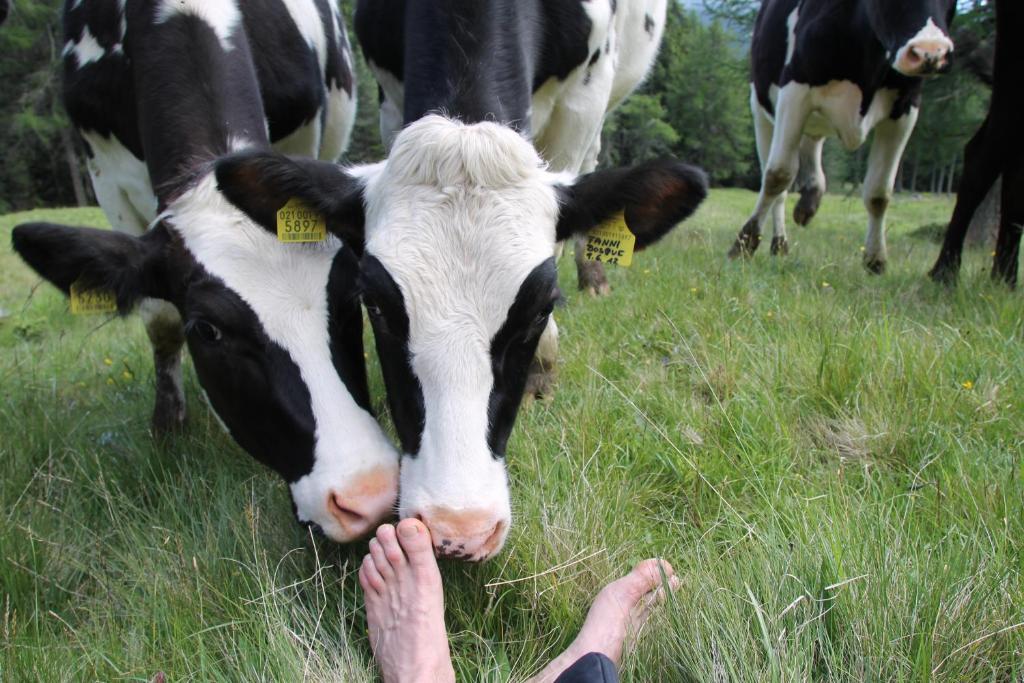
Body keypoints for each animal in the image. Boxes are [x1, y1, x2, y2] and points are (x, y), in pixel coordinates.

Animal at [14, 1, 403, 544]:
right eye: (208, 330)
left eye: (351, 303)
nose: (369, 496)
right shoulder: (107, 178)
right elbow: (158, 318)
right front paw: (167, 425)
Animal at [215, 0, 708, 561]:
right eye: (375, 306)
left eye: (543, 307)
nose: (458, 529)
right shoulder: (389, 93)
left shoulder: (583, 96)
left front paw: (542, 366)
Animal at [729, 0, 958, 272]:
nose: (930, 52)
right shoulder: (795, 87)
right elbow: (778, 175)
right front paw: (745, 243)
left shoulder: (906, 107)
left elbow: (879, 192)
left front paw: (875, 259)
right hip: (762, 108)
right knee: (778, 183)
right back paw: (780, 242)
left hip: (815, 121)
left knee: (811, 146)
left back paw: (809, 200)